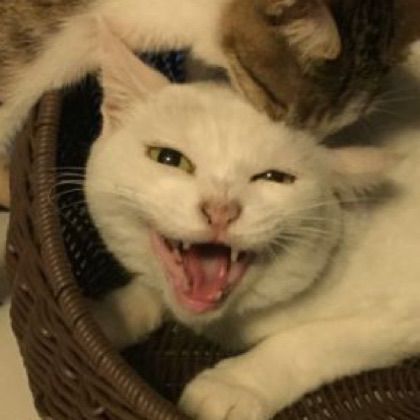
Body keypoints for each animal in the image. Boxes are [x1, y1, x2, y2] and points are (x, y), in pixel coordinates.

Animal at [85, 27, 420, 419]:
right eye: (168, 158)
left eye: (274, 178)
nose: (220, 210)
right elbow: (150, 289)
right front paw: (107, 316)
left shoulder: (402, 312)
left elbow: (312, 342)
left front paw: (233, 386)